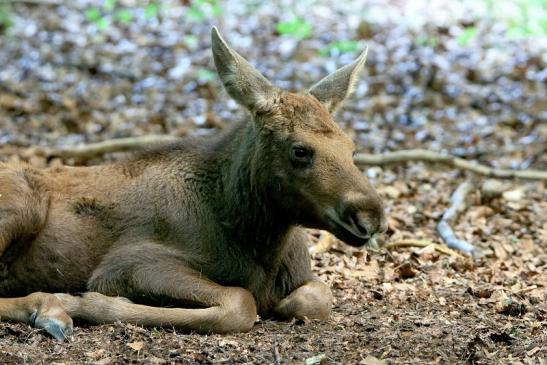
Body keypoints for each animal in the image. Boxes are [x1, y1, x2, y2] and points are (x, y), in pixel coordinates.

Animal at [0, 27, 386, 340]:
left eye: (352, 148)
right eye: (300, 150)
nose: (370, 216)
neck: (258, 240)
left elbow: (317, 298)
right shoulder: (125, 265)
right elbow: (241, 301)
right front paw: (80, 302)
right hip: (22, 204)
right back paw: (48, 308)